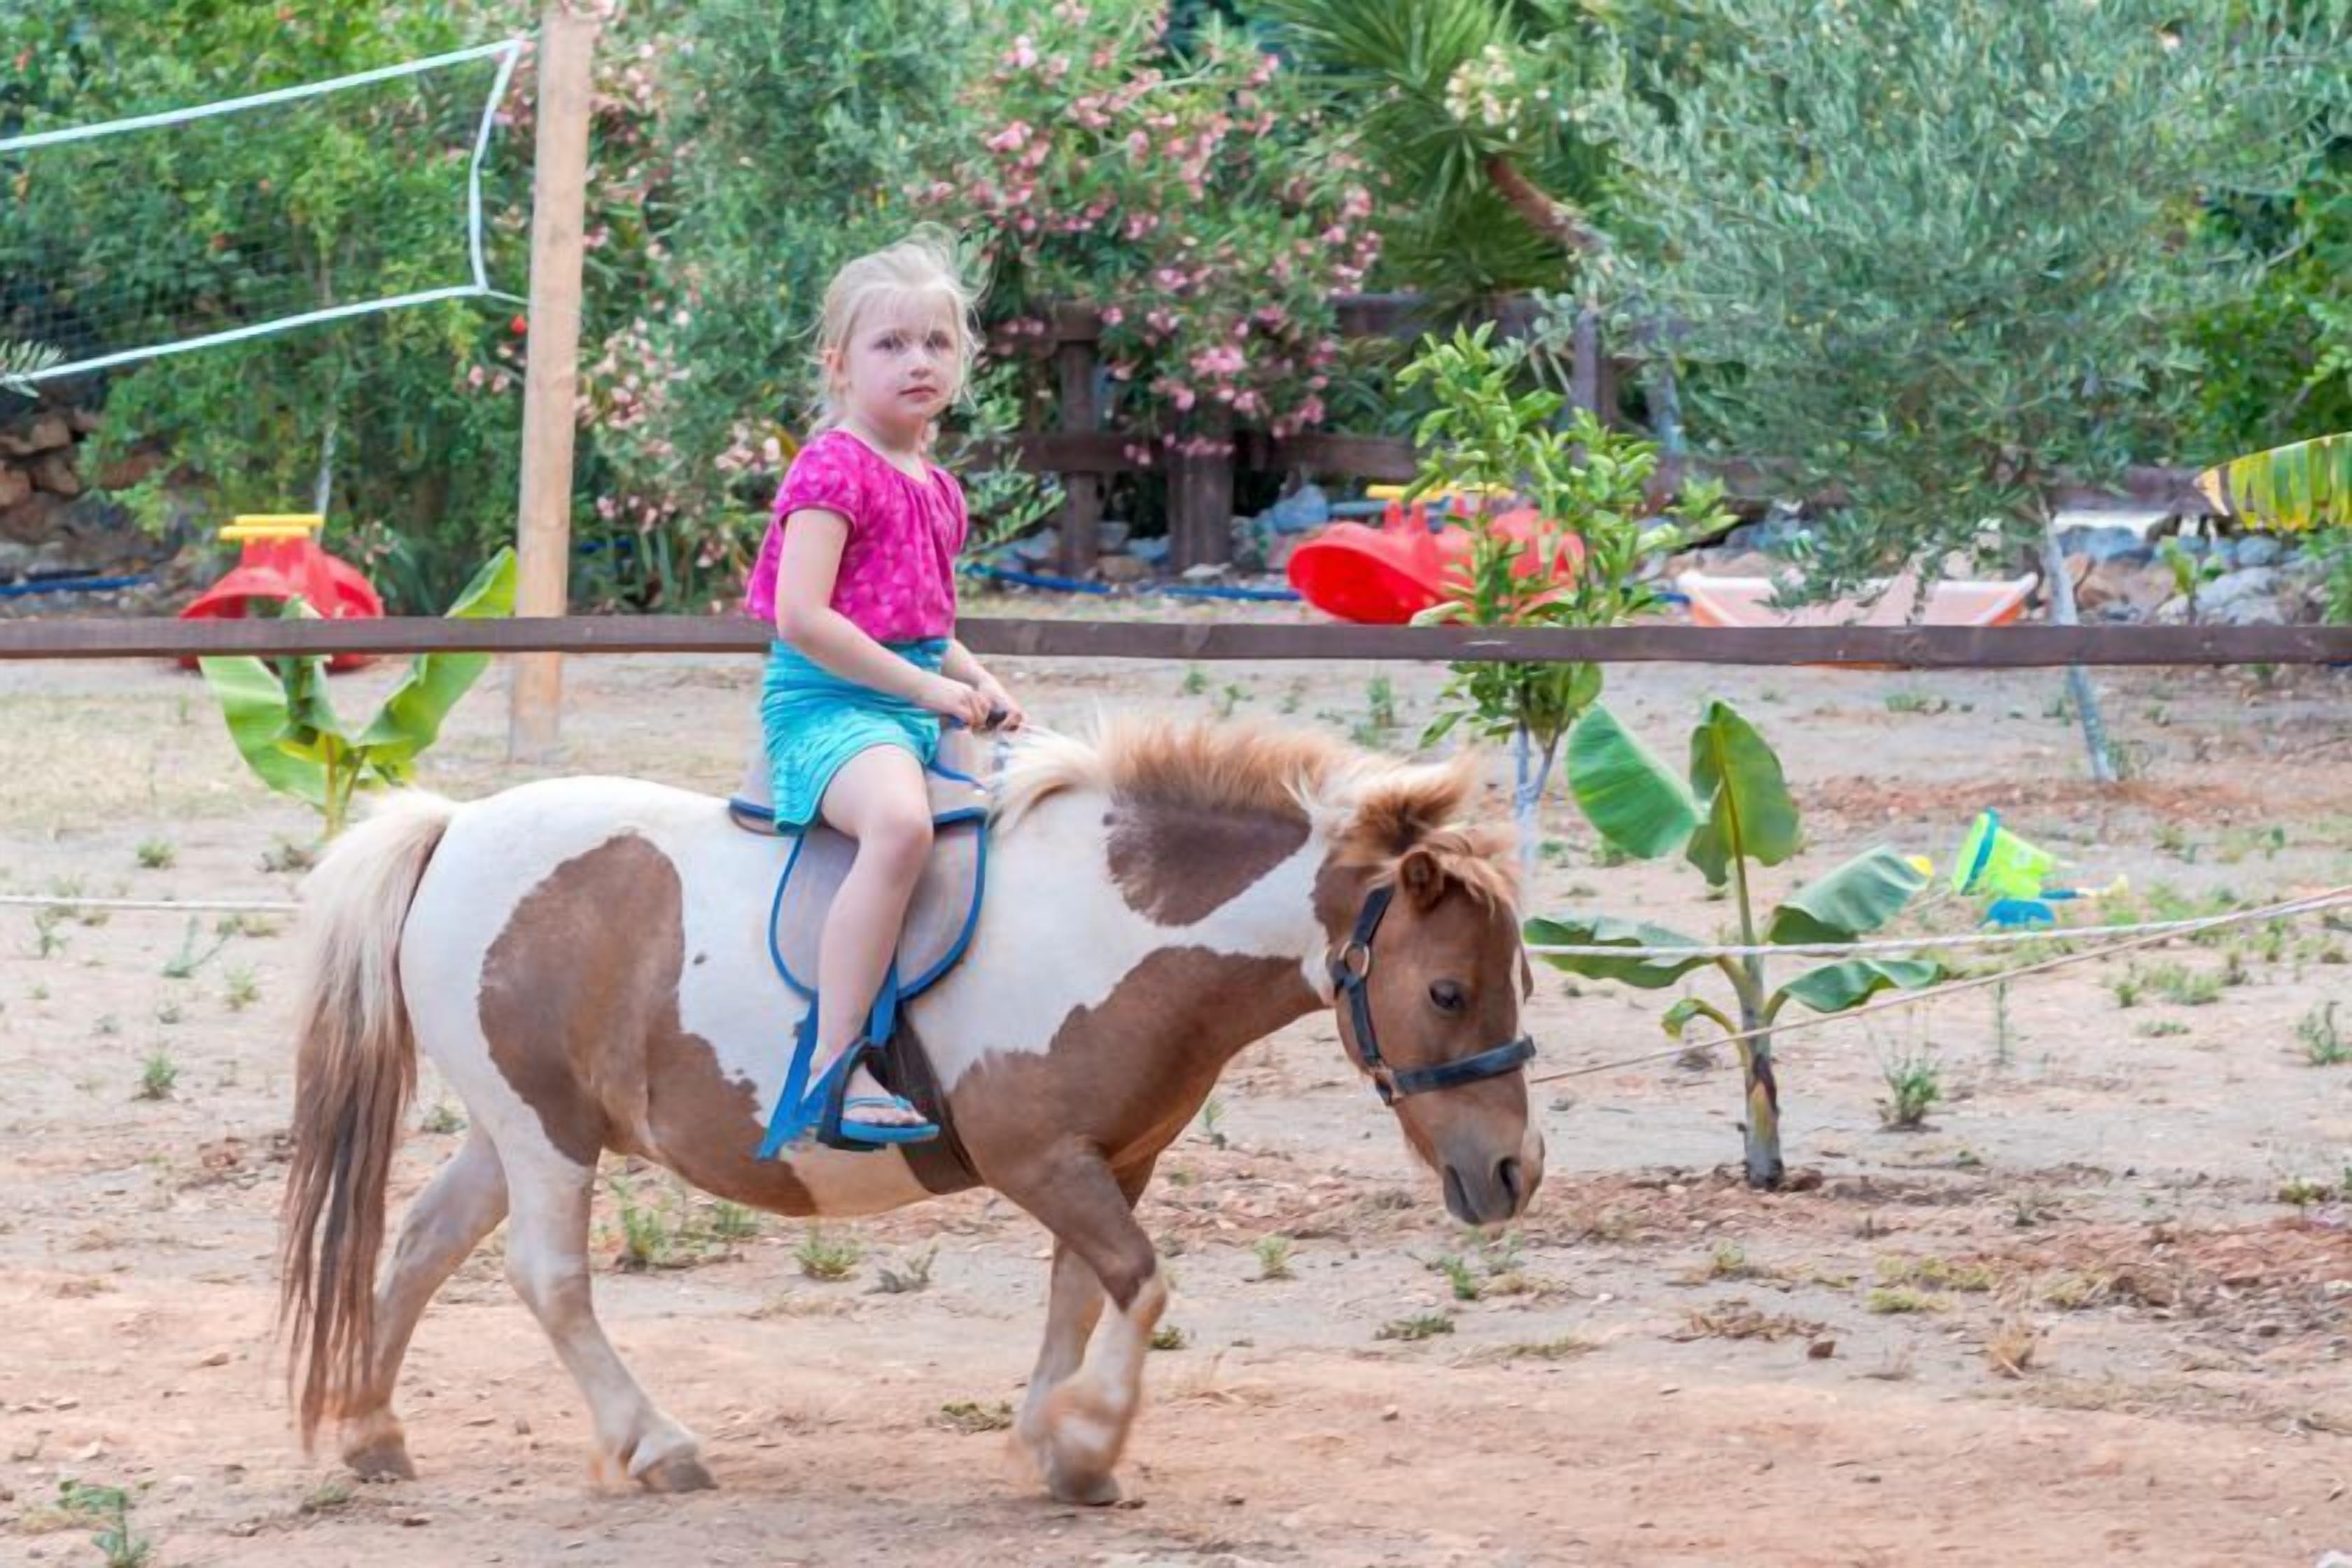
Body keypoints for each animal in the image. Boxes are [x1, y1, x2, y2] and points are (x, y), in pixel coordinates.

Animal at [277, 715, 1544, 1506]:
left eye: (1520, 979)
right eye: (1446, 990)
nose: (1513, 1174)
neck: (1112, 924)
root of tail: (454, 827)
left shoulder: (1110, 1161)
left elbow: (1082, 1295)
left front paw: (1050, 1441)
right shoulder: (1040, 1158)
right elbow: (1141, 1284)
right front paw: (1087, 1445)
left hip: (523, 1131)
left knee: (422, 1242)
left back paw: (372, 1433)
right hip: (542, 1136)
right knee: (549, 1281)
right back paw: (654, 1445)